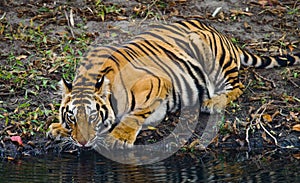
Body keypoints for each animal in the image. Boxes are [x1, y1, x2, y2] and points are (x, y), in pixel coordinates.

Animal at [48, 19, 298, 149]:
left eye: (92, 116)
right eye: (72, 117)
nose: (82, 143)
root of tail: (222, 35)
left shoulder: (157, 82)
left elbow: (134, 114)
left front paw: (119, 138)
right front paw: (59, 128)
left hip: (212, 59)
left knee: (237, 86)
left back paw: (212, 102)